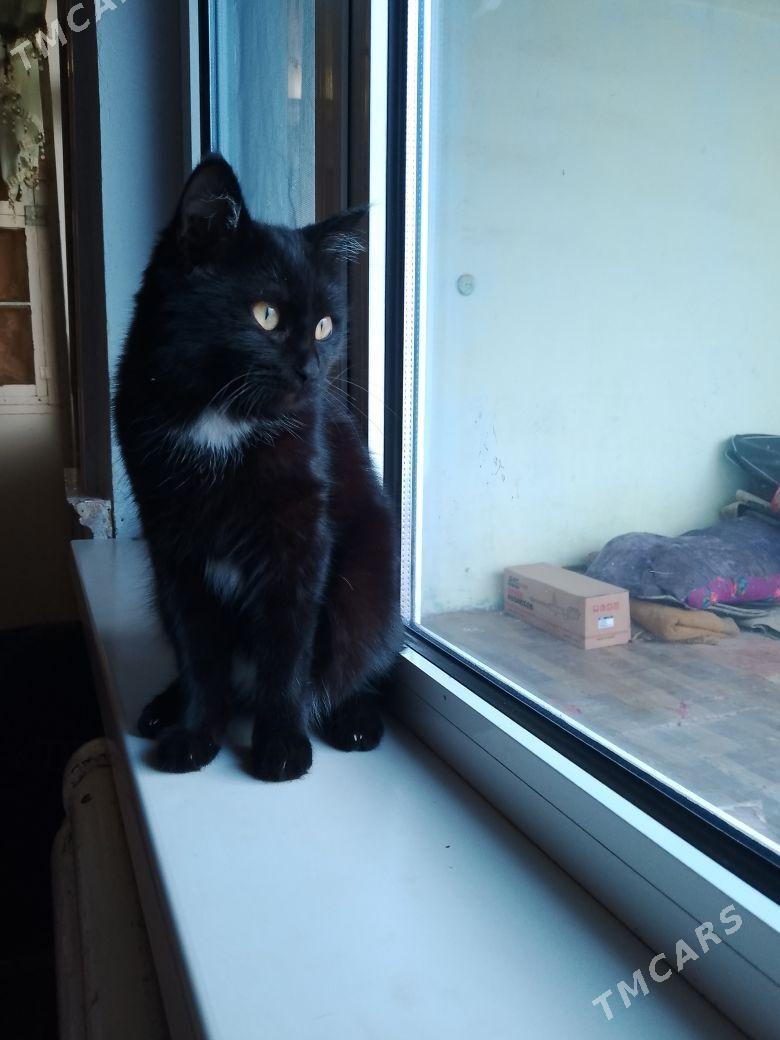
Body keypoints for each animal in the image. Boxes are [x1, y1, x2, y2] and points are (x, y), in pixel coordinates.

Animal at [114, 154, 401, 781]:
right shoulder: (172, 545)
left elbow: (288, 646)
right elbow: (199, 650)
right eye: (265, 314)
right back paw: (163, 708)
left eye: (324, 326)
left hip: (370, 581)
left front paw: (283, 745)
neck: (220, 417)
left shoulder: (299, 537)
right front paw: (195, 734)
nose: (311, 368)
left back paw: (353, 718)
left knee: (355, 657)